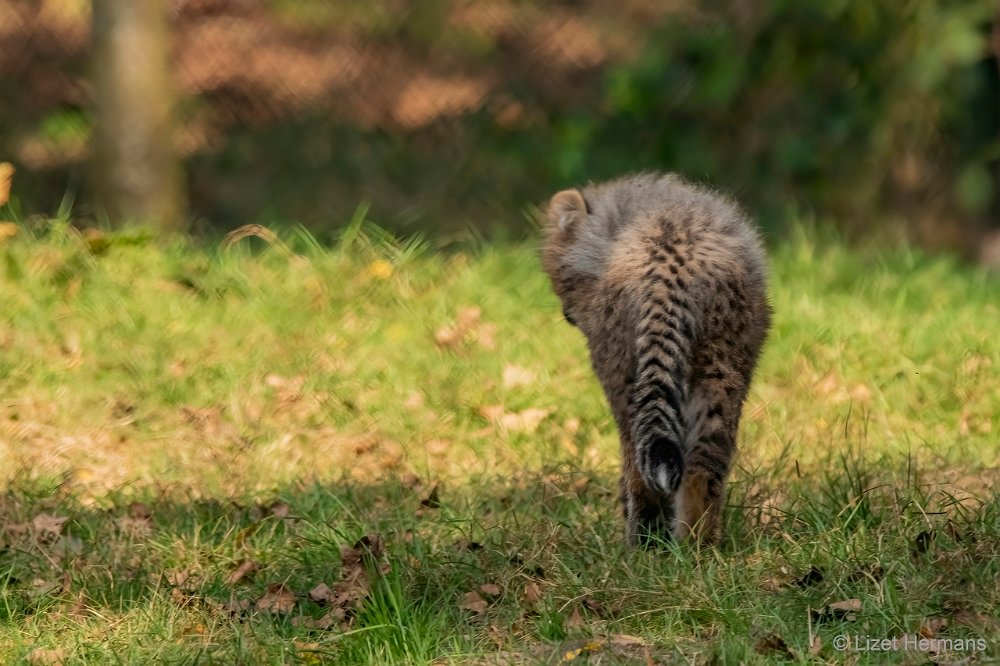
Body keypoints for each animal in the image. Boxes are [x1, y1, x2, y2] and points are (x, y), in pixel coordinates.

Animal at [544, 172, 768, 544]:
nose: (566, 315)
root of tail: (675, 252)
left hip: (628, 380)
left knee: (638, 466)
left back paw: (642, 542)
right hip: (722, 370)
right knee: (703, 467)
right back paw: (696, 546)